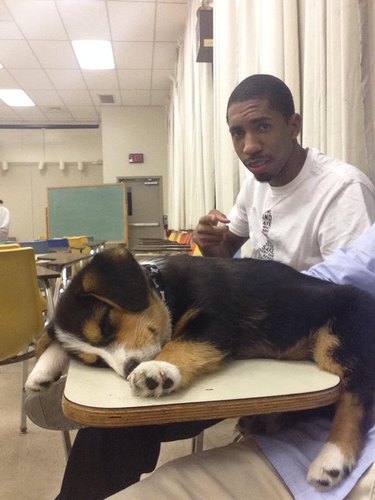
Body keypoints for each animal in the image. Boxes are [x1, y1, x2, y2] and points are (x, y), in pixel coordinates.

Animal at [26, 248, 375, 490]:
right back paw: (265, 421)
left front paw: (156, 370)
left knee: (357, 397)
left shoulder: (214, 319)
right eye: (96, 361)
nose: (128, 369)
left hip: (339, 339)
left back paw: (331, 460)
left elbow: (181, 344)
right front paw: (40, 371)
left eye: (106, 323)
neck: (164, 290)